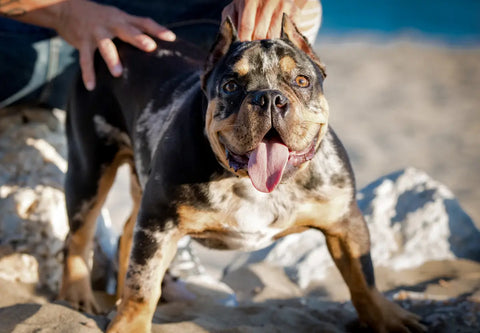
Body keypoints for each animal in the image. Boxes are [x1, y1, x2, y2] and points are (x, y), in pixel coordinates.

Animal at [59, 14, 424, 332]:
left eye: (302, 81)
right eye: (231, 85)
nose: (270, 98)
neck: (250, 182)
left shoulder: (345, 222)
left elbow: (363, 278)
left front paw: (387, 318)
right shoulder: (158, 224)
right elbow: (143, 284)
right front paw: (129, 326)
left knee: (124, 233)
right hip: (89, 169)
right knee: (79, 236)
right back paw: (78, 296)